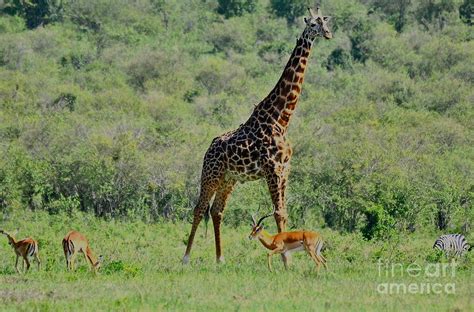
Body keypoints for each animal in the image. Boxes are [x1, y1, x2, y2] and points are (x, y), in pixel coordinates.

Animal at [183, 6, 332, 264]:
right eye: (313, 24)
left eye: (325, 22)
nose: (328, 34)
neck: (281, 119)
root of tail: (208, 149)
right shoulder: (272, 169)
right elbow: (277, 212)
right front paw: (285, 259)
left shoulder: (285, 169)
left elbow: (283, 211)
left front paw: (286, 254)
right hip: (211, 174)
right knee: (200, 208)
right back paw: (186, 257)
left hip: (229, 178)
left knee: (217, 210)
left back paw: (220, 259)